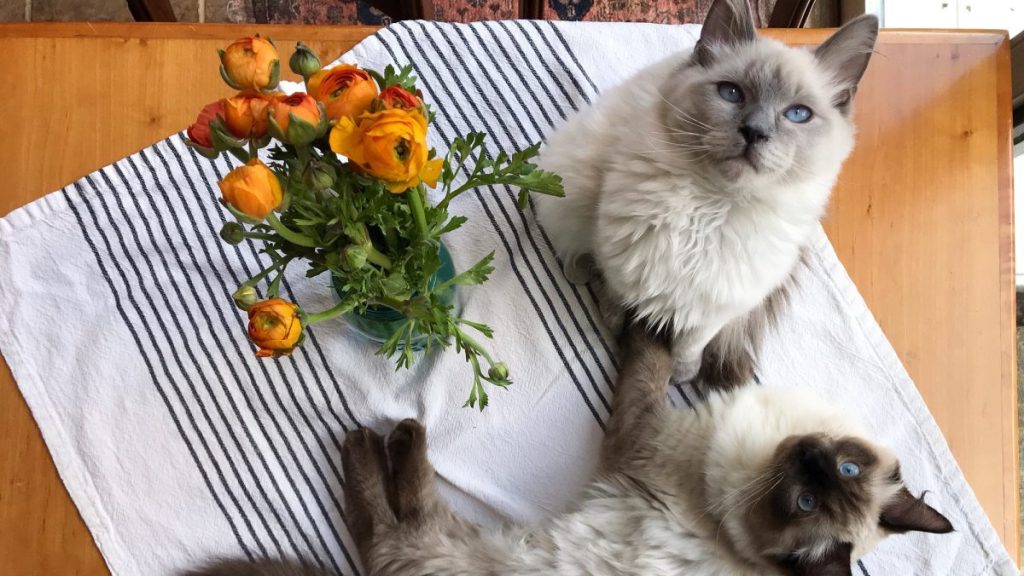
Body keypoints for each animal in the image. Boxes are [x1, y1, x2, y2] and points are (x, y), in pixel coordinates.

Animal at [190, 319, 950, 569]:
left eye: (803, 503)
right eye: (843, 466)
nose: (813, 460)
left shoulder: (639, 436)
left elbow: (647, 361)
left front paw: (653, 320)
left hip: (438, 544)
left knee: (386, 517)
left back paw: (379, 436)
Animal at [536, 0, 880, 387]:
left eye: (797, 114)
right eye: (731, 93)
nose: (755, 131)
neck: (712, 207)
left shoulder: (717, 304)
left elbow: (690, 344)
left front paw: (681, 374)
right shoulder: (622, 264)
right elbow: (616, 301)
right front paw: (615, 327)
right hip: (573, 183)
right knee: (572, 244)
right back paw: (578, 270)